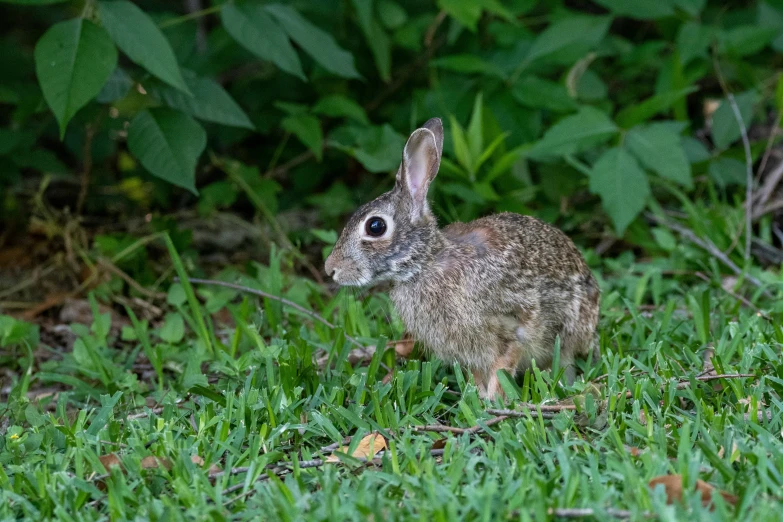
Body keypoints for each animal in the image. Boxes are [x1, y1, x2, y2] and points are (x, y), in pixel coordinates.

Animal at [324, 116, 600, 396]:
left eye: (375, 226)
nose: (330, 269)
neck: (426, 263)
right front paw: (477, 396)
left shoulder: (514, 324)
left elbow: (503, 367)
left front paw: (493, 399)